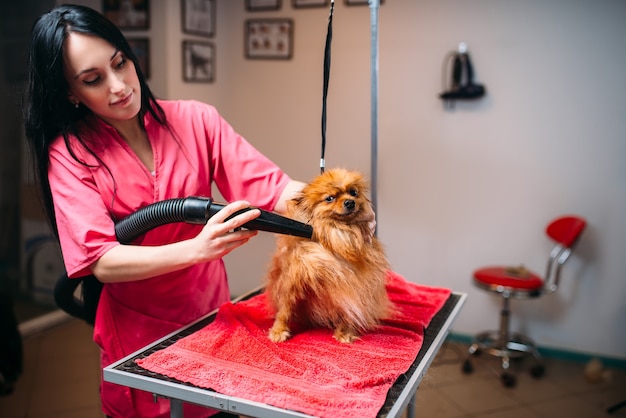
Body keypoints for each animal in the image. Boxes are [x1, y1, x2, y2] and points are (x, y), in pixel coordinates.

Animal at [264, 168, 390, 344]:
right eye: (329, 198)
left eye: (353, 192)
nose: (349, 202)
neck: (338, 233)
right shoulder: (292, 281)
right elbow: (285, 309)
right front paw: (279, 330)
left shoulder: (350, 284)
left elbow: (348, 311)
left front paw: (345, 332)